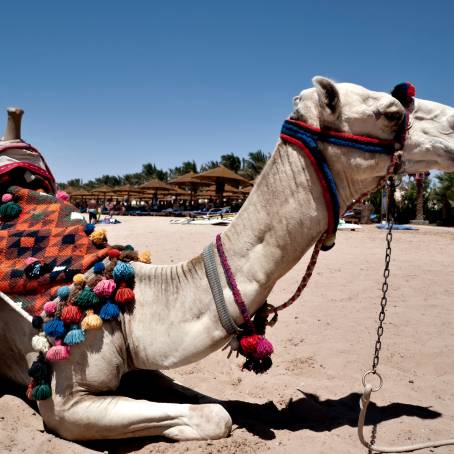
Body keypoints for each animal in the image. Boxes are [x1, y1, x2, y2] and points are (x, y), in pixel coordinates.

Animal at [0, 76, 454, 442]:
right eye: (391, 113)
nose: (452, 124)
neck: (129, 302)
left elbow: (203, 400)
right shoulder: (66, 401)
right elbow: (217, 416)